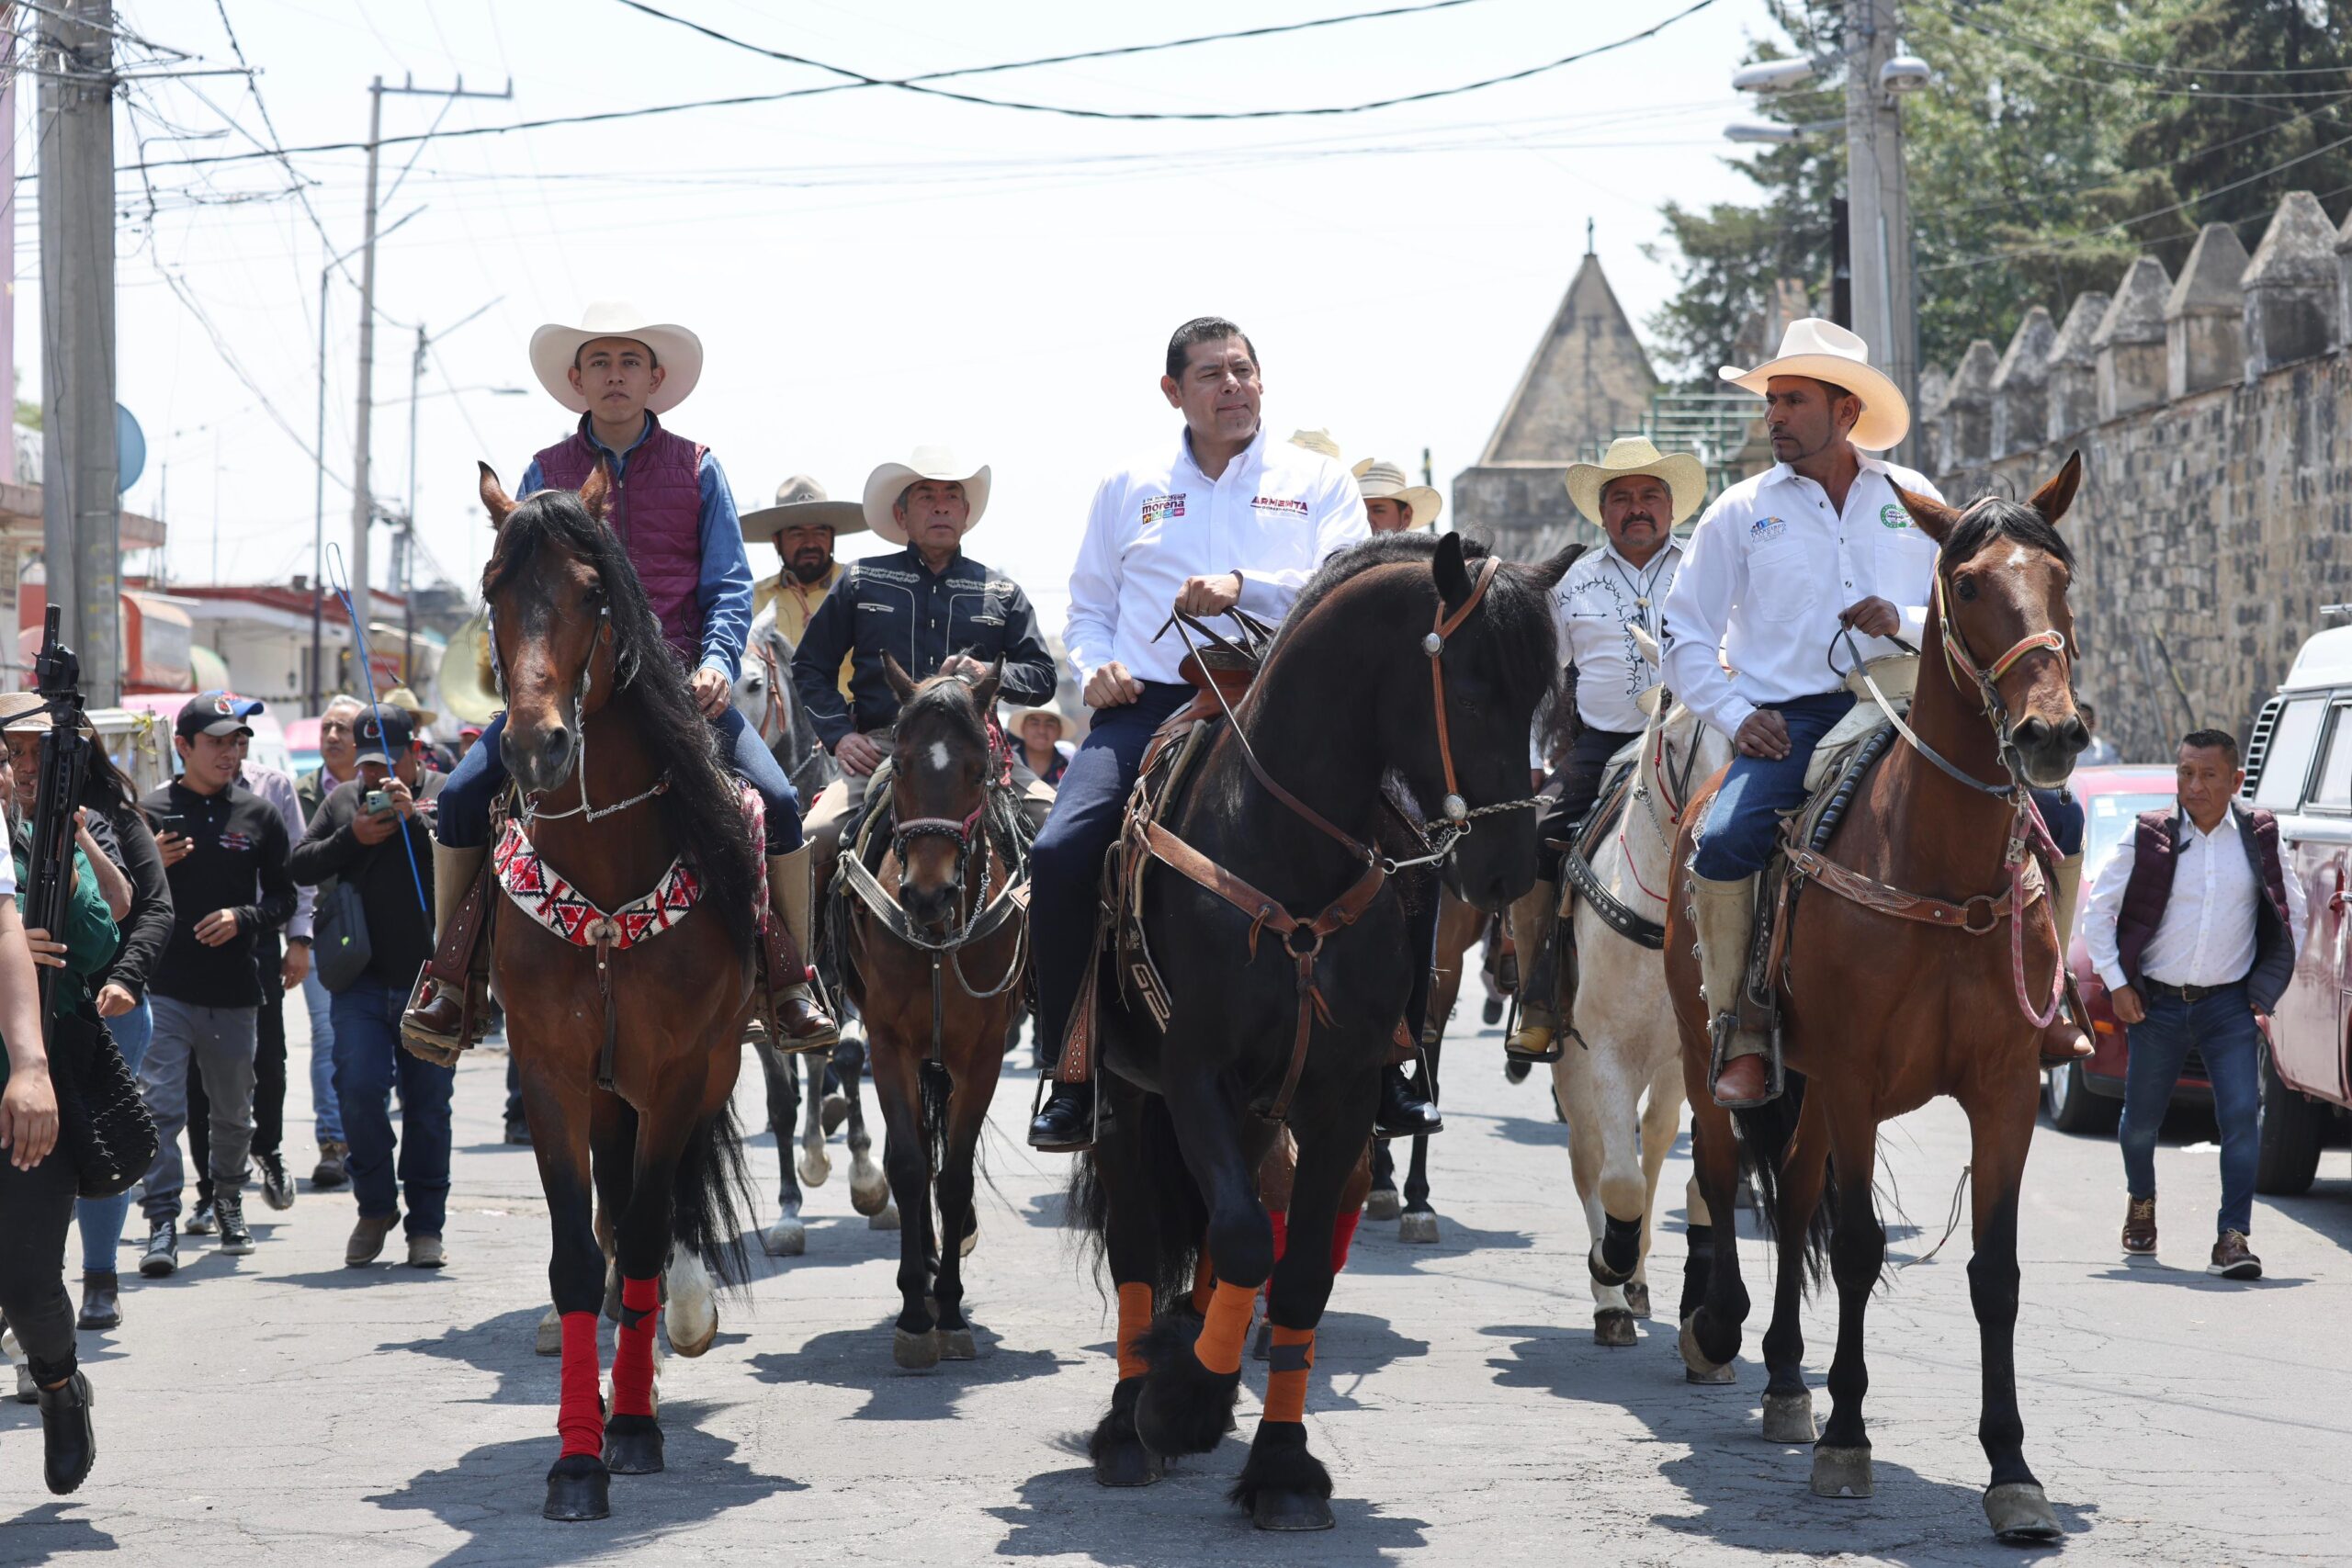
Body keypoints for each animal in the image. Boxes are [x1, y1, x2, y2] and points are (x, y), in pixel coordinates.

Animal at [480, 465, 762, 1523]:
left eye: (594, 593)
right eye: (493, 590)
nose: (537, 747)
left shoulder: (680, 1074)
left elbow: (642, 1238)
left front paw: (634, 1428)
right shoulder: (551, 1075)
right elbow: (576, 1252)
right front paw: (575, 1457)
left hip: (690, 1078)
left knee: (652, 1220)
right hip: (607, 1095)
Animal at [842, 658, 1035, 1363]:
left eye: (979, 770)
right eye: (898, 764)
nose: (927, 893)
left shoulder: (981, 1052)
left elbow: (953, 1177)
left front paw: (948, 1311)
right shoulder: (889, 1042)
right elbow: (908, 1162)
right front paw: (913, 1310)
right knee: (921, 1149)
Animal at [1077, 531, 1571, 1532]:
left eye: (1542, 699)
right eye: (1469, 690)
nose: (1508, 867)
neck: (1282, 853)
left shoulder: (1339, 1094)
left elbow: (1296, 1268)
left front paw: (1279, 1463)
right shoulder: (1193, 1074)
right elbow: (1238, 1237)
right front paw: (1179, 1405)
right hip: (1122, 1102)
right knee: (1140, 1243)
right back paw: (1126, 1417)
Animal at [1552, 629, 1740, 1354]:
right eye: (1675, 733)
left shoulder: (1700, 1057)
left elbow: (1679, 1162)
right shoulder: (1599, 1050)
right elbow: (1616, 1179)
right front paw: (1609, 1266)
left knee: (1656, 1134)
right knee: (1591, 1157)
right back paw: (1613, 1286)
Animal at [1665, 453, 2088, 1541]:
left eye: (2061, 577)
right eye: (1969, 584)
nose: (2053, 733)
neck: (1941, 870)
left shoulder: (2005, 1090)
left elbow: (1994, 1274)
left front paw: (2012, 1471)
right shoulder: (1856, 1078)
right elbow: (1855, 1247)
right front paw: (1848, 1440)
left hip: (1813, 1084)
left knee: (1792, 1186)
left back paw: (1783, 1379)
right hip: (1709, 1046)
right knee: (1725, 1173)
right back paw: (1722, 1327)